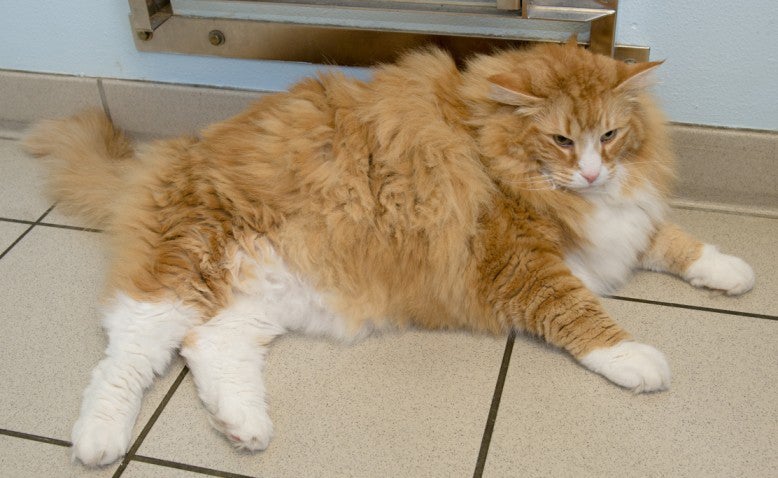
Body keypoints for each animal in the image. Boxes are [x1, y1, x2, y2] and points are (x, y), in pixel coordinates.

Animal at [24, 37, 755, 467]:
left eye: (609, 134)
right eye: (560, 140)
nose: (595, 172)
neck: (486, 144)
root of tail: (157, 158)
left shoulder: (622, 221)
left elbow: (674, 240)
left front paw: (730, 270)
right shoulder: (521, 265)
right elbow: (583, 315)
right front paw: (636, 359)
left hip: (262, 297)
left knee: (208, 347)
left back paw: (245, 426)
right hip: (182, 275)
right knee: (128, 356)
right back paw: (100, 439)